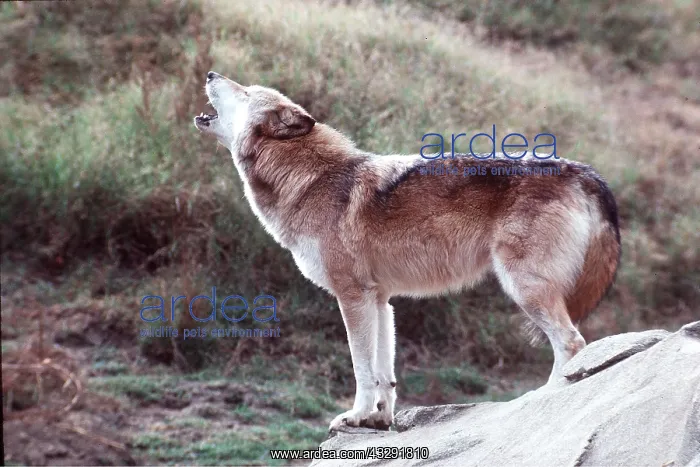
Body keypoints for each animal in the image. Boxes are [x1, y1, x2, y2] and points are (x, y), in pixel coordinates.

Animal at [194, 71, 621, 431]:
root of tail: (585, 173)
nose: (211, 73)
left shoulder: (352, 296)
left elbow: (361, 368)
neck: (309, 180)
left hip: (525, 289)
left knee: (572, 342)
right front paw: (378, 420)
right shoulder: (380, 300)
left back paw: (544, 397)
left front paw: (355, 416)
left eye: (244, 92)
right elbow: (385, 373)